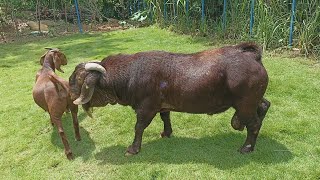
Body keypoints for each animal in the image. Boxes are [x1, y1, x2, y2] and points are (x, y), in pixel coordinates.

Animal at [69, 42, 270, 156]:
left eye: (77, 80)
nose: (70, 96)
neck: (131, 74)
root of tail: (250, 54)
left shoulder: (146, 107)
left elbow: (139, 127)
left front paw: (133, 149)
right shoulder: (162, 105)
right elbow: (165, 116)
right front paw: (167, 132)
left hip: (245, 104)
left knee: (253, 124)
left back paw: (247, 147)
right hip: (252, 100)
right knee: (264, 105)